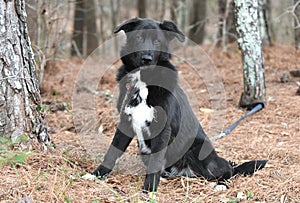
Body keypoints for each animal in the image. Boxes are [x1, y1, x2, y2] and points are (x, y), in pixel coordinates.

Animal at [92, 17, 268, 192]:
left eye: (157, 41)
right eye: (139, 38)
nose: (147, 59)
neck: (144, 82)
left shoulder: (162, 129)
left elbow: (155, 162)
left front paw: (149, 189)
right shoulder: (125, 123)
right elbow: (112, 152)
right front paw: (96, 174)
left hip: (200, 151)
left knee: (229, 170)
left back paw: (221, 184)